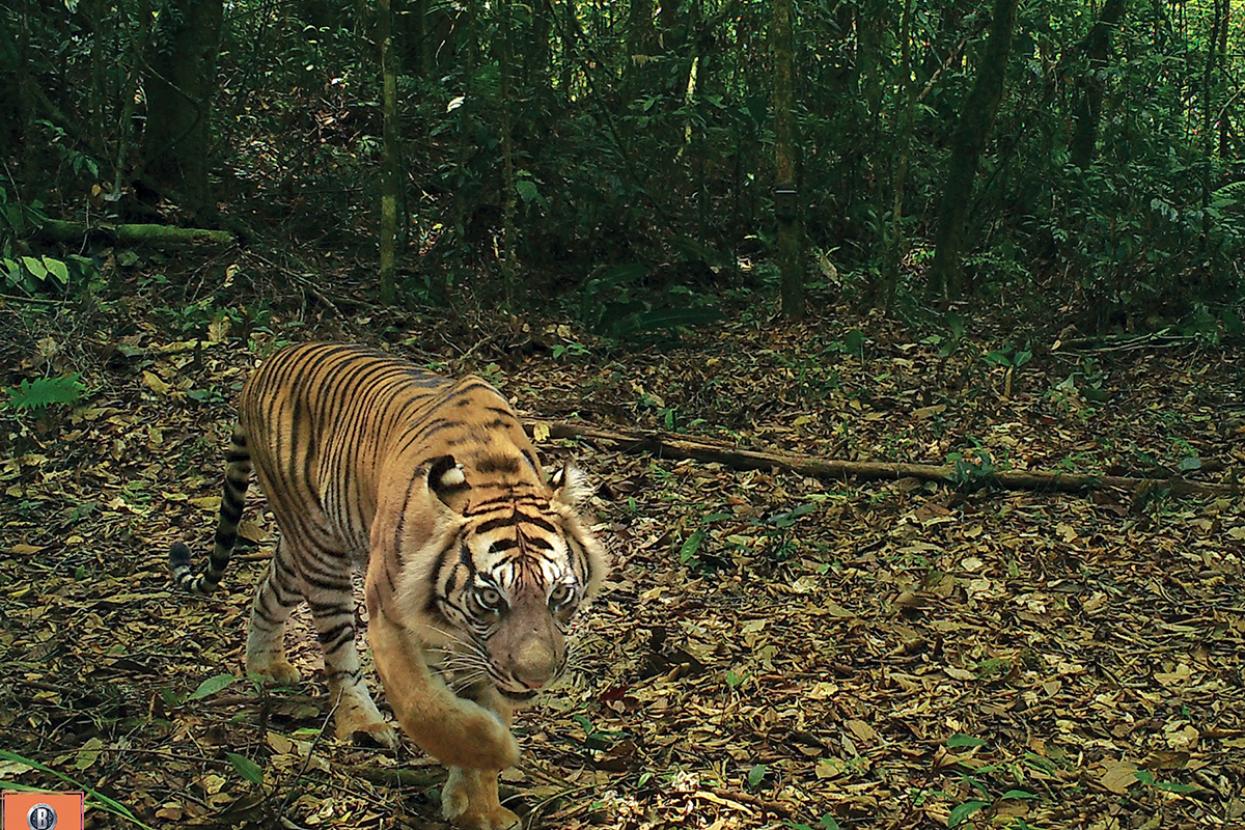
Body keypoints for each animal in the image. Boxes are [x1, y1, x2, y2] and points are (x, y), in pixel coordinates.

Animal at [169, 342, 610, 830]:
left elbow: (483, 699)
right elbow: (426, 706)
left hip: (303, 546)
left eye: (560, 595)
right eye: (490, 597)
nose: (537, 678)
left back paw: (264, 666)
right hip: (320, 551)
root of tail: (266, 363)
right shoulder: (390, 615)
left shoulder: (481, 653)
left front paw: (480, 806)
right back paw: (361, 723)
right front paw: (495, 748)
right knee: (339, 653)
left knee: (268, 590)